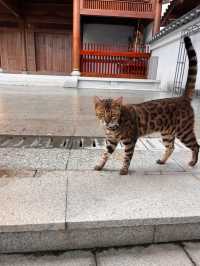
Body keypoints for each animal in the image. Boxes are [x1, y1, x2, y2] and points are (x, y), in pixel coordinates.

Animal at [93, 36, 198, 176]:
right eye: (101, 114)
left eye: (113, 115)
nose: (106, 121)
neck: (113, 128)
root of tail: (182, 97)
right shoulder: (111, 141)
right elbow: (105, 154)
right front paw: (100, 165)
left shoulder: (130, 140)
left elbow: (127, 157)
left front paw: (124, 170)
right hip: (167, 133)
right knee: (171, 147)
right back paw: (162, 161)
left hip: (184, 131)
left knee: (196, 145)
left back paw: (193, 162)